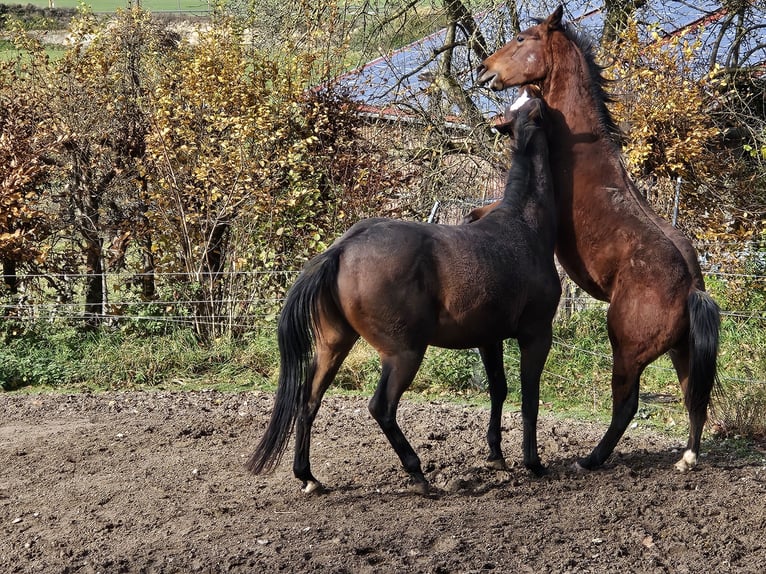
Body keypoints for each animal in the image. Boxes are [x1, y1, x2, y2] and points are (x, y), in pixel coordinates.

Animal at [247, 95, 561, 494]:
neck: (523, 225)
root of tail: (342, 249)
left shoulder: (489, 338)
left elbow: (499, 390)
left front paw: (496, 454)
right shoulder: (536, 334)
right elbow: (530, 397)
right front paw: (533, 463)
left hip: (334, 346)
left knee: (309, 400)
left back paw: (308, 477)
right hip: (404, 354)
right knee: (381, 407)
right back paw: (417, 473)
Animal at [476, 6, 720, 472]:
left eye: (522, 38)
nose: (483, 70)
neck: (576, 145)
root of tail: (692, 290)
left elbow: (487, 208)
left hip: (625, 350)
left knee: (627, 405)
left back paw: (591, 459)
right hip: (682, 353)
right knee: (693, 400)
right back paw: (687, 458)